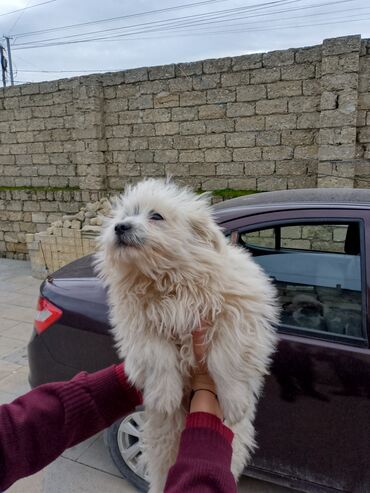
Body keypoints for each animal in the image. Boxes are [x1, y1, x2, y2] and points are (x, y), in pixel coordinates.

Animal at [95, 179, 278, 490]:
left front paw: (235, 403)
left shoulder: (238, 315)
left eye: (156, 216)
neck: (167, 279)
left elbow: (225, 359)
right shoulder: (140, 327)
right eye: (126, 215)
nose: (120, 227)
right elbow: (160, 358)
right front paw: (165, 397)